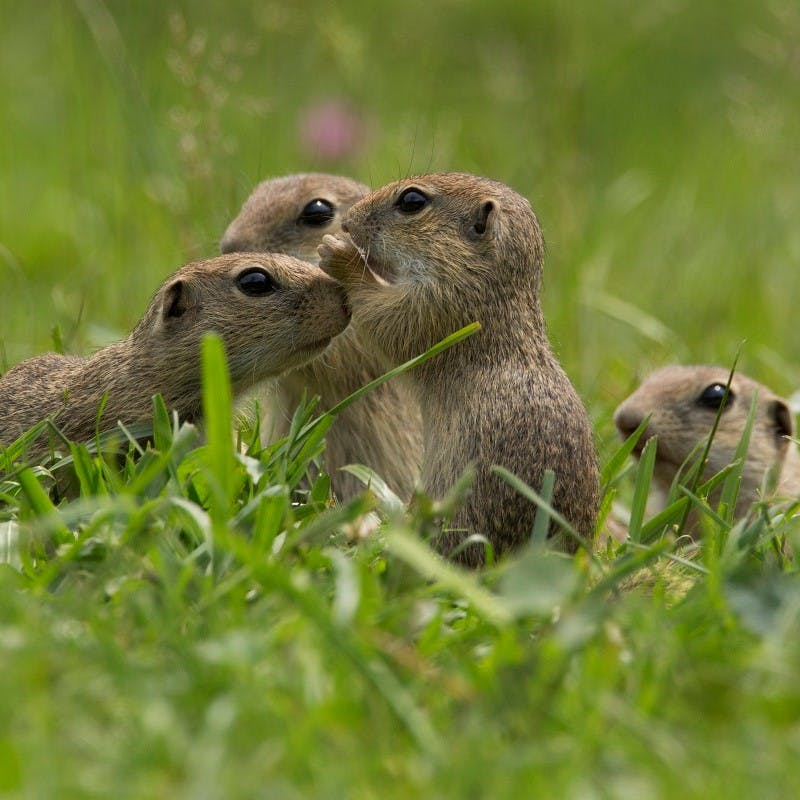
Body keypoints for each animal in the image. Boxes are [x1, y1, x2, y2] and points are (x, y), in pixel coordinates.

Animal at [318, 173, 600, 564]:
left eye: (412, 201)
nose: (347, 222)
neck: (486, 283)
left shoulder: (439, 308)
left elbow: (387, 318)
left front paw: (339, 254)